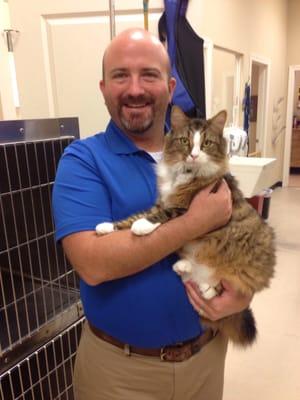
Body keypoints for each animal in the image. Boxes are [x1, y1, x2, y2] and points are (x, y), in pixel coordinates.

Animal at [95, 106, 276, 346]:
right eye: (184, 141)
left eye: (206, 143)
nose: (194, 155)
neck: (184, 172)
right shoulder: (161, 201)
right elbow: (132, 217)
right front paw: (107, 227)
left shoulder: (182, 208)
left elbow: (159, 216)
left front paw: (142, 226)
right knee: (195, 271)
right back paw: (184, 267)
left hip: (241, 258)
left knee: (220, 283)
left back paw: (207, 288)